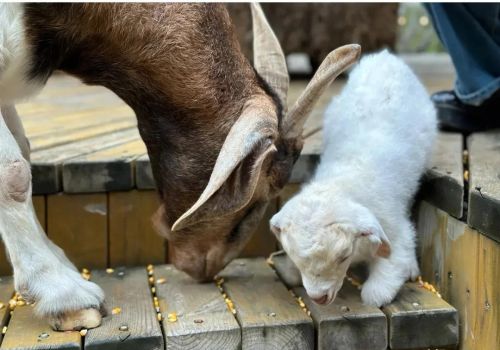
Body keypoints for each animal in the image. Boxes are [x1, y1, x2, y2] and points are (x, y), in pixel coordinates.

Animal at [0, 2, 360, 330]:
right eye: (257, 191)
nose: (207, 267)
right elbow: (13, 173)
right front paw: (65, 295)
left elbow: (25, 151)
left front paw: (59, 265)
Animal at [270, 50, 438, 306]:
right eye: (295, 257)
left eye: (343, 256)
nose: (319, 298)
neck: (341, 183)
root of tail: (384, 57)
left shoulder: (394, 229)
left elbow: (385, 278)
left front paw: (379, 290)